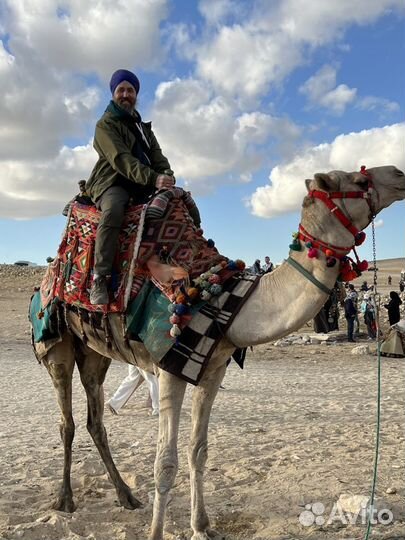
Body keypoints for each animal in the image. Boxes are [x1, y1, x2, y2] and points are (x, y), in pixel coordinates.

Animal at [36, 166, 402, 540]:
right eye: (359, 181)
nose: (398, 173)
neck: (227, 301)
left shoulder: (212, 368)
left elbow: (198, 451)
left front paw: (202, 526)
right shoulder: (169, 368)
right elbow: (164, 462)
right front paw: (156, 532)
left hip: (95, 354)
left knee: (95, 419)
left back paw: (126, 496)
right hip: (56, 347)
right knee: (66, 422)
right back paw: (65, 499)